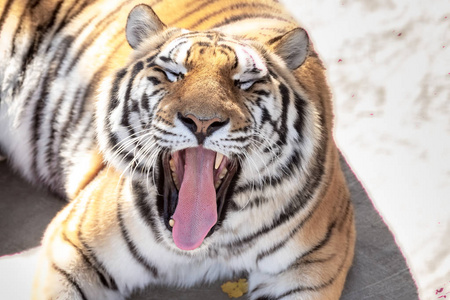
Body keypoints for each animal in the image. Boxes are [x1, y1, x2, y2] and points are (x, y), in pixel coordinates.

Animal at [0, 0, 356, 298]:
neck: (206, 245)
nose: (202, 121)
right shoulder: (73, 245)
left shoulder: (312, 266)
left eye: (244, 82)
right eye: (174, 74)